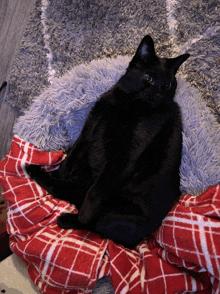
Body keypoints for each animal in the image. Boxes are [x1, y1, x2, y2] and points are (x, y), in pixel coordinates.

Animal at [26, 35, 190, 249]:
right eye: (149, 78)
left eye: (168, 85)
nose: (158, 94)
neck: (127, 106)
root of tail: (141, 239)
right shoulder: (88, 130)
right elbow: (70, 158)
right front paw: (59, 171)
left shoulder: (124, 157)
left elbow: (96, 191)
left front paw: (84, 213)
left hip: (113, 212)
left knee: (92, 221)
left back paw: (66, 214)